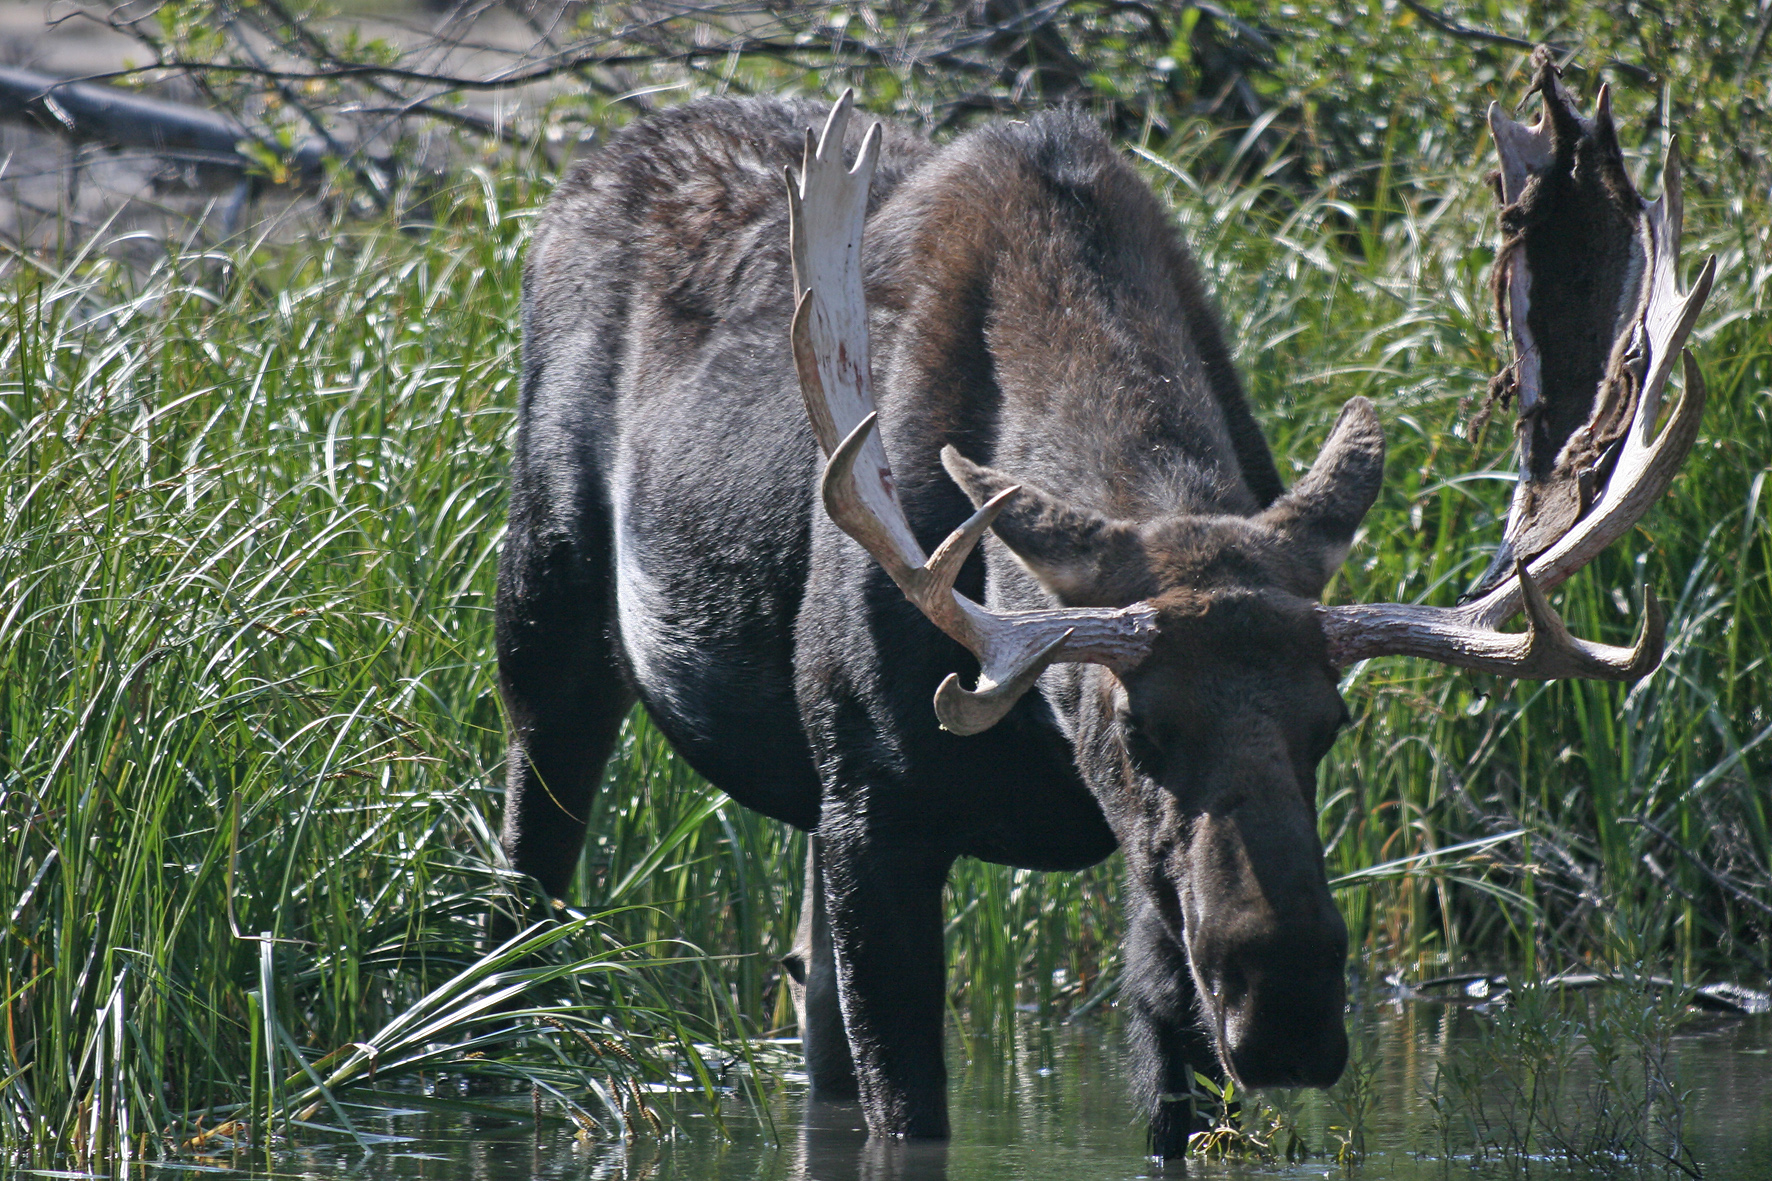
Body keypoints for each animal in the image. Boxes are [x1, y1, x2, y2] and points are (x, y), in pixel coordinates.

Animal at [492, 48, 1708, 1149]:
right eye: (1138, 725)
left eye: (1330, 724)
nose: (1290, 1012)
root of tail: (576, 177)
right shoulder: (878, 813)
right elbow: (908, 1108)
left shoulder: (1126, 877)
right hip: (547, 610)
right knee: (527, 883)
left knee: (809, 1008)